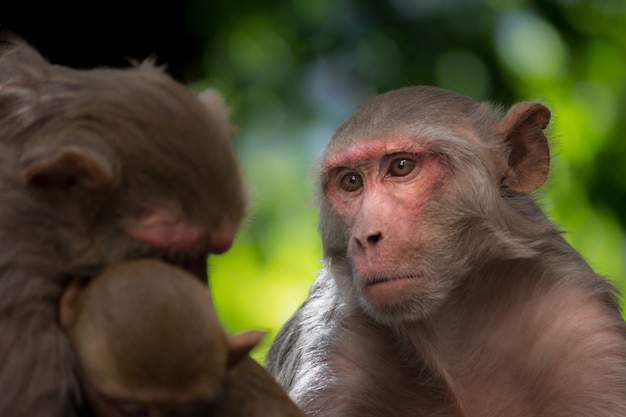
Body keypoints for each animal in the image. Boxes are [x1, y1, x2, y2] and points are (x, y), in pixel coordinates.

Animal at [266, 85, 624, 416]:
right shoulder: (338, 347)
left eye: (401, 166)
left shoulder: (583, 331)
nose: (366, 237)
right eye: (351, 181)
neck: (453, 320)